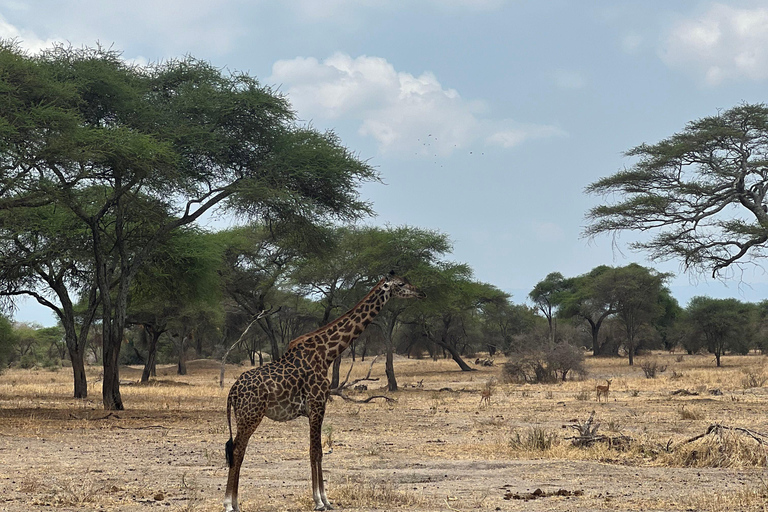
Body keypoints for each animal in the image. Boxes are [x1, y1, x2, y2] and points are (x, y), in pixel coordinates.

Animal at [222, 272, 426, 512]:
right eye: (402, 284)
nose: (421, 293)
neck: (327, 353)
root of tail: (232, 391)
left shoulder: (315, 408)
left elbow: (318, 451)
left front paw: (325, 499)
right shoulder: (318, 404)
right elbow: (316, 451)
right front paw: (320, 500)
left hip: (245, 415)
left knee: (237, 450)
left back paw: (235, 503)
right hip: (250, 415)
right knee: (237, 450)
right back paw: (229, 504)